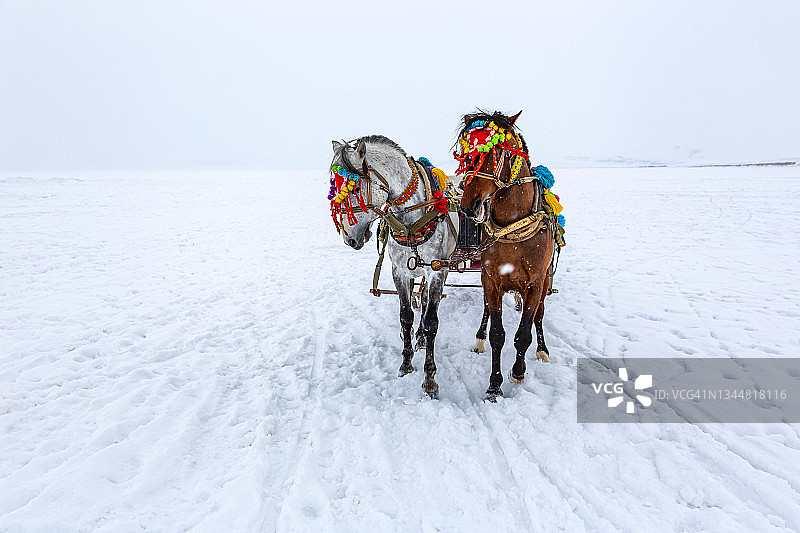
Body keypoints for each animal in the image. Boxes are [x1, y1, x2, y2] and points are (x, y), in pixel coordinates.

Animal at [329, 135, 458, 398]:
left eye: (353, 188)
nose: (349, 239)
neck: (411, 221)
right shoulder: (399, 271)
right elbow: (406, 317)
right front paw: (406, 363)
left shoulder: (437, 270)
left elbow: (431, 322)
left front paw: (429, 379)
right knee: (422, 298)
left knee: (427, 302)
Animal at [455, 111, 557, 401]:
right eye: (465, 154)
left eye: (496, 151)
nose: (468, 206)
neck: (513, 226)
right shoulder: (492, 280)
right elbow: (497, 334)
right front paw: (494, 385)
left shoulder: (535, 284)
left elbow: (524, 333)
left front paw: (518, 372)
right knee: (486, 311)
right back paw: (479, 337)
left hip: (545, 282)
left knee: (539, 315)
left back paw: (542, 350)